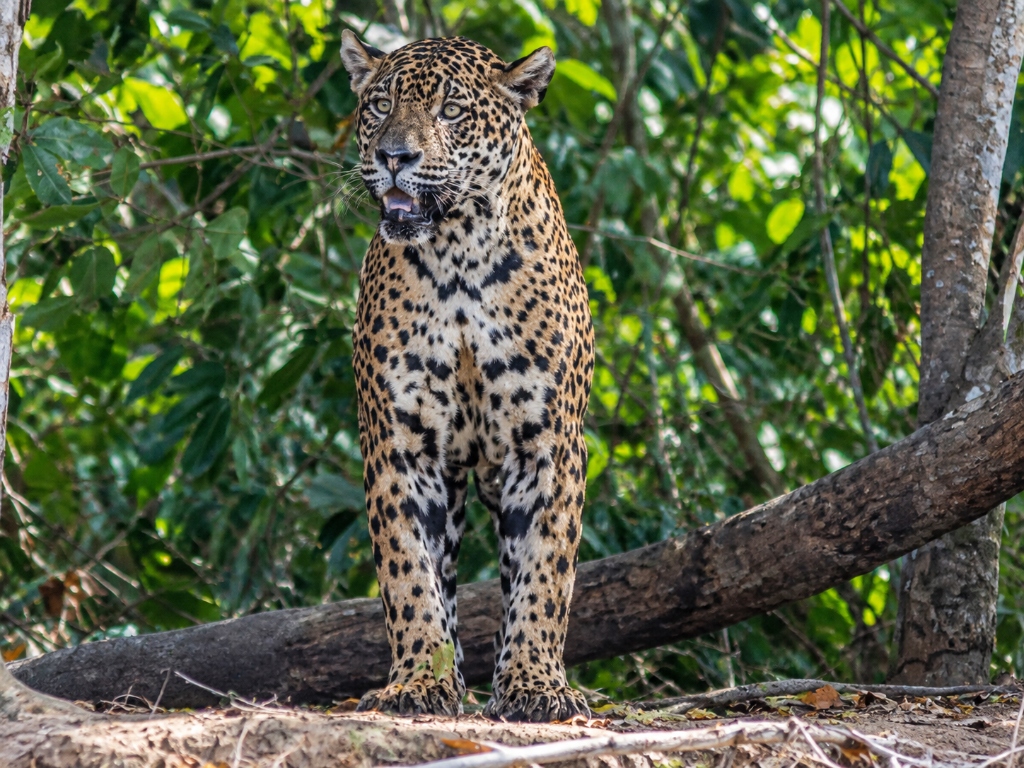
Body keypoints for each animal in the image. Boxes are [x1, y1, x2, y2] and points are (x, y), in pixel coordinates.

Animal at [340, 30, 595, 723]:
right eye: (379, 105)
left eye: (451, 112)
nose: (394, 155)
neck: (457, 258)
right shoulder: (400, 446)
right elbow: (408, 571)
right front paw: (417, 681)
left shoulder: (547, 448)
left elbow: (544, 571)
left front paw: (535, 684)